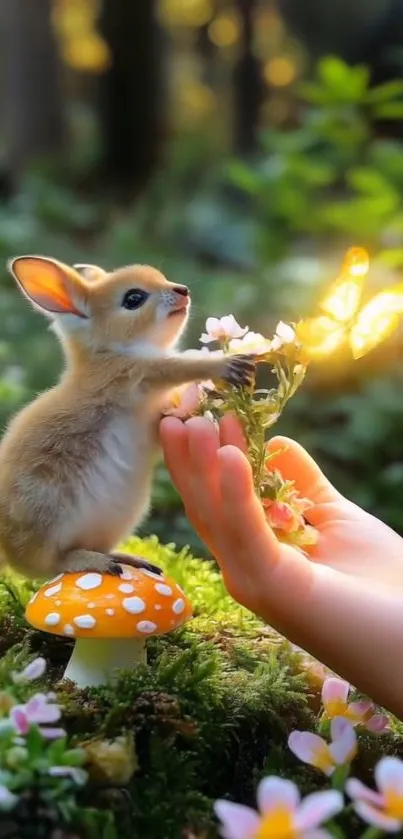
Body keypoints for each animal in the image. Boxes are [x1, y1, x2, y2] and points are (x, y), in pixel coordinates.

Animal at [0, 260, 254, 580]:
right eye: (133, 298)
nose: (182, 290)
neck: (110, 352)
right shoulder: (136, 373)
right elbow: (180, 366)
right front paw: (225, 365)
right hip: (47, 512)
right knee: (49, 564)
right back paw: (94, 561)